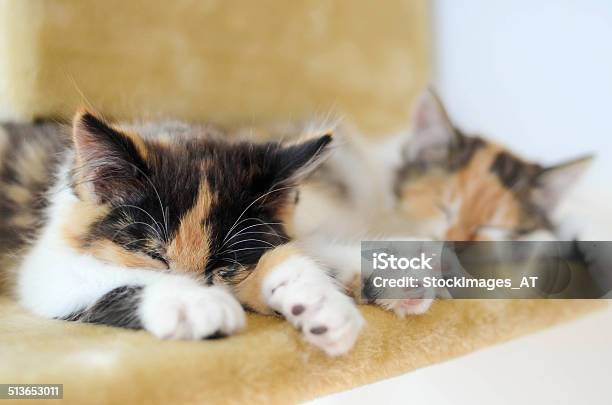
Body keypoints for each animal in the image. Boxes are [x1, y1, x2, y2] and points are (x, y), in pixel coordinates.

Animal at [0, 110, 364, 354]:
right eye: (154, 256)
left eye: (222, 266)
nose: (197, 289)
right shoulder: (45, 265)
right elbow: (105, 274)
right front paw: (193, 301)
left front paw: (321, 301)